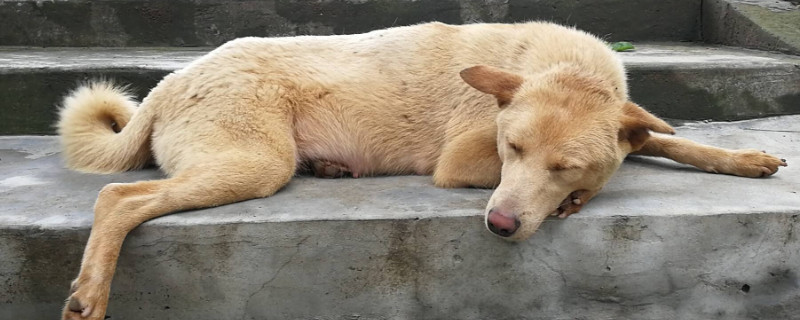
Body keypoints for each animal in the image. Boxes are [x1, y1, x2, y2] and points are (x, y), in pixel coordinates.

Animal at [56, 21, 788, 318]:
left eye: (564, 162)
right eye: (514, 150)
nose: (498, 226)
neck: (558, 63)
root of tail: (171, 81)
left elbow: (661, 138)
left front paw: (744, 158)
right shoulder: (464, 159)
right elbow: (632, 159)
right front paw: (579, 200)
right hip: (256, 163)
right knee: (119, 196)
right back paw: (90, 294)